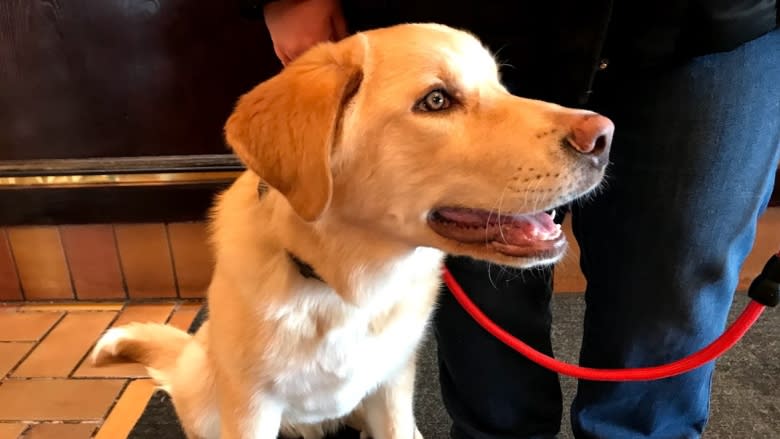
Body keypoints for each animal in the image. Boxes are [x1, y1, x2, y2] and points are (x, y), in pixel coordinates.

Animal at [94, 23, 612, 439]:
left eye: (501, 86)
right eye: (436, 100)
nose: (604, 136)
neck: (344, 288)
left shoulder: (392, 389)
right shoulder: (251, 408)